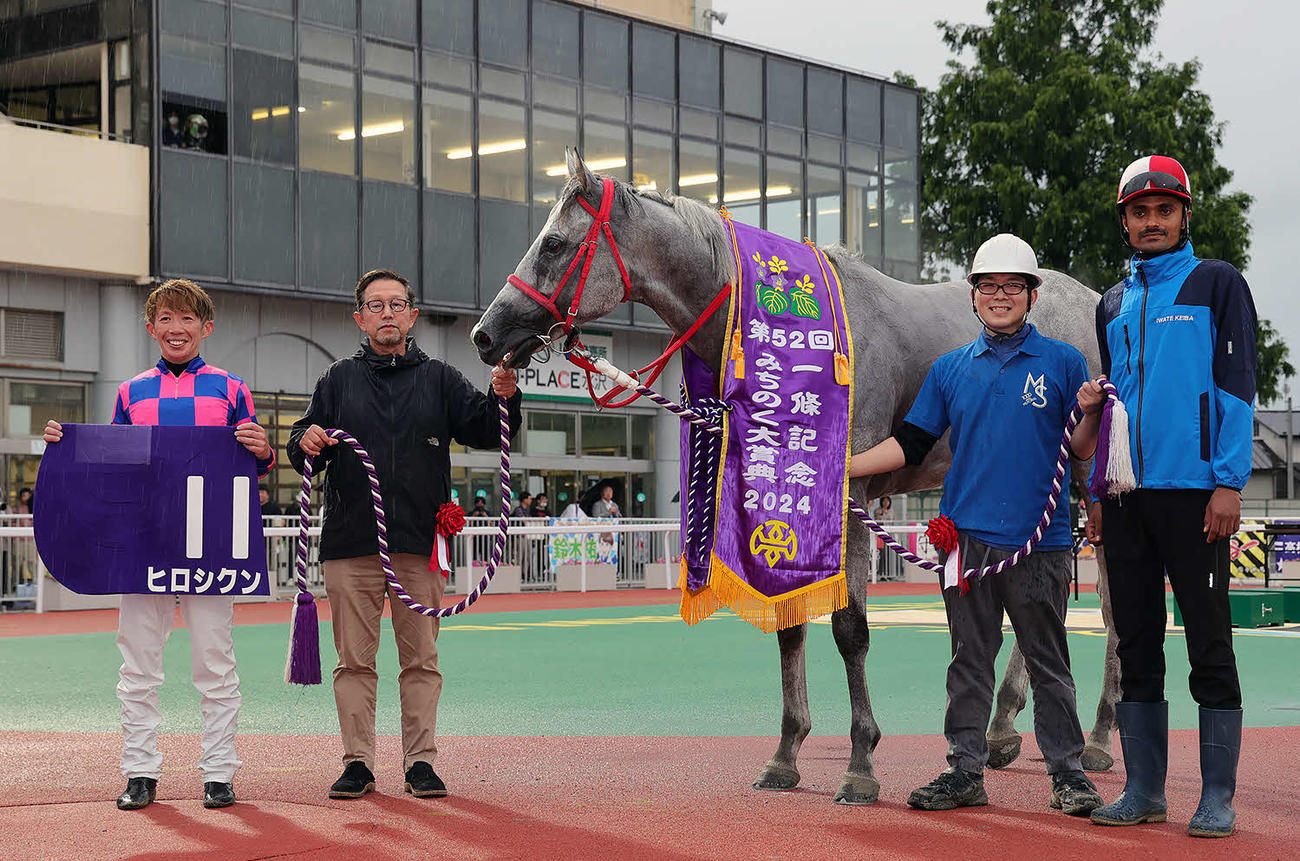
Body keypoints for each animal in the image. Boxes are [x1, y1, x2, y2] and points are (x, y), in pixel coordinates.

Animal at [471, 150, 1118, 804]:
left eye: (553, 243)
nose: (485, 334)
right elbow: (788, 624)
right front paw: (786, 754)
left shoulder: (851, 497)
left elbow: (851, 628)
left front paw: (860, 763)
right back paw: (1004, 728)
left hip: (1085, 476)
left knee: (1105, 604)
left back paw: (1094, 736)